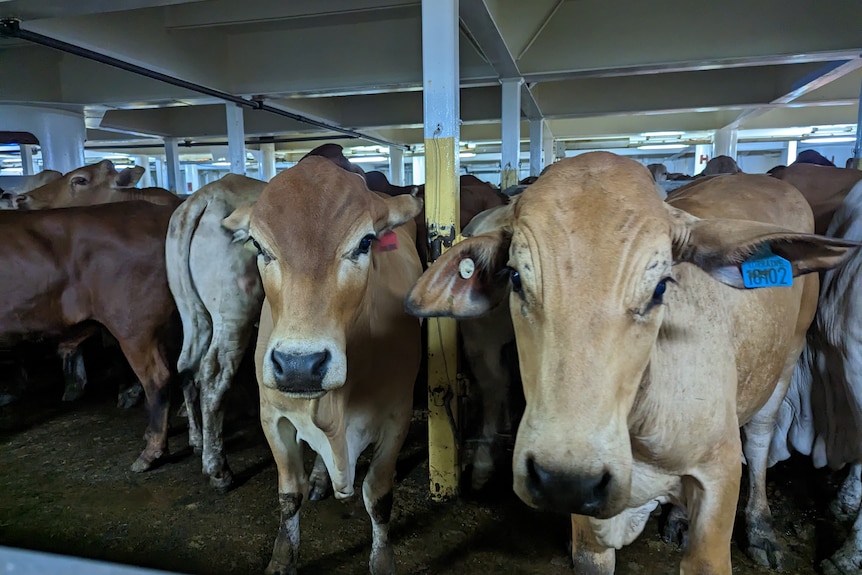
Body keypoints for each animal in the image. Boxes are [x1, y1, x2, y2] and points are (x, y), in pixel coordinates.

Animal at [223, 154, 426, 575]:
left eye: (365, 242)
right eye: (258, 245)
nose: (299, 366)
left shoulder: (397, 416)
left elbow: (378, 495)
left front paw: (382, 559)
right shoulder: (272, 416)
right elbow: (289, 494)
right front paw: (283, 558)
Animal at [404, 151, 856, 572]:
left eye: (660, 287)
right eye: (515, 277)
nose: (561, 479)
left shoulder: (720, 474)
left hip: (787, 359)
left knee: (761, 439)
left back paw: (761, 528)